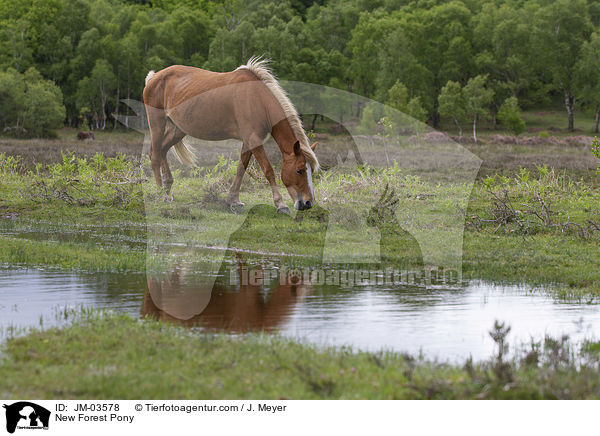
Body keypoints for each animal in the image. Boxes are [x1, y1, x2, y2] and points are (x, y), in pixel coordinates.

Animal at [142, 56, 318, 213]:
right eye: (299, 170)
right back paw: (161, 193)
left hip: (177, 130)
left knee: (162, 150)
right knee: (155, 154)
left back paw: (167, 190)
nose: (308, 203)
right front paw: (281, 204)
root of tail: (154, 77)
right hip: (157, 124)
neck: (258, 99)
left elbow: (241, 169)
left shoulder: (248, 141)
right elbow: (268, 170)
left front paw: (233, 200)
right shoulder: (254, 140)